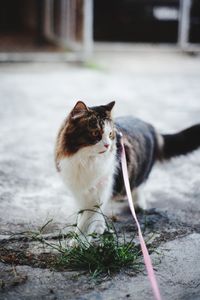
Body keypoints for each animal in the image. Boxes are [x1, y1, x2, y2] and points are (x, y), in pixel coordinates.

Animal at [55, 101, 200, 241]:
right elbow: (87, 215)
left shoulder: (100, 191)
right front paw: (97, 229)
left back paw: (137, 204)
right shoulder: (81, 192)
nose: (108, 145)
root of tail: (150, 126)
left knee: (138, 187)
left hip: (140, 172)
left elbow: (86, 221)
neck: (86, 160)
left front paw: (79, 243)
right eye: (96, 133)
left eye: (110, 134)